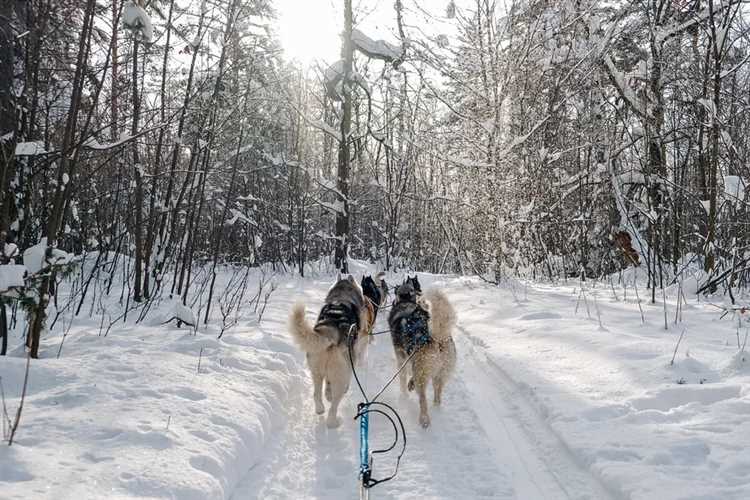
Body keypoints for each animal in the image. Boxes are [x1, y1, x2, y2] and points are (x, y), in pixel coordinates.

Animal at [290, 276, 372, 428]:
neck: (341, 297)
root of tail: (330, 330)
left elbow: (327, 387)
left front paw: (327, 394)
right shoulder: (352, 360)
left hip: (316, 372)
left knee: (316, 394)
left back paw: (320, 408)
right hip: (340, 375)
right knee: (334, 404)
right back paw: (333, 421)